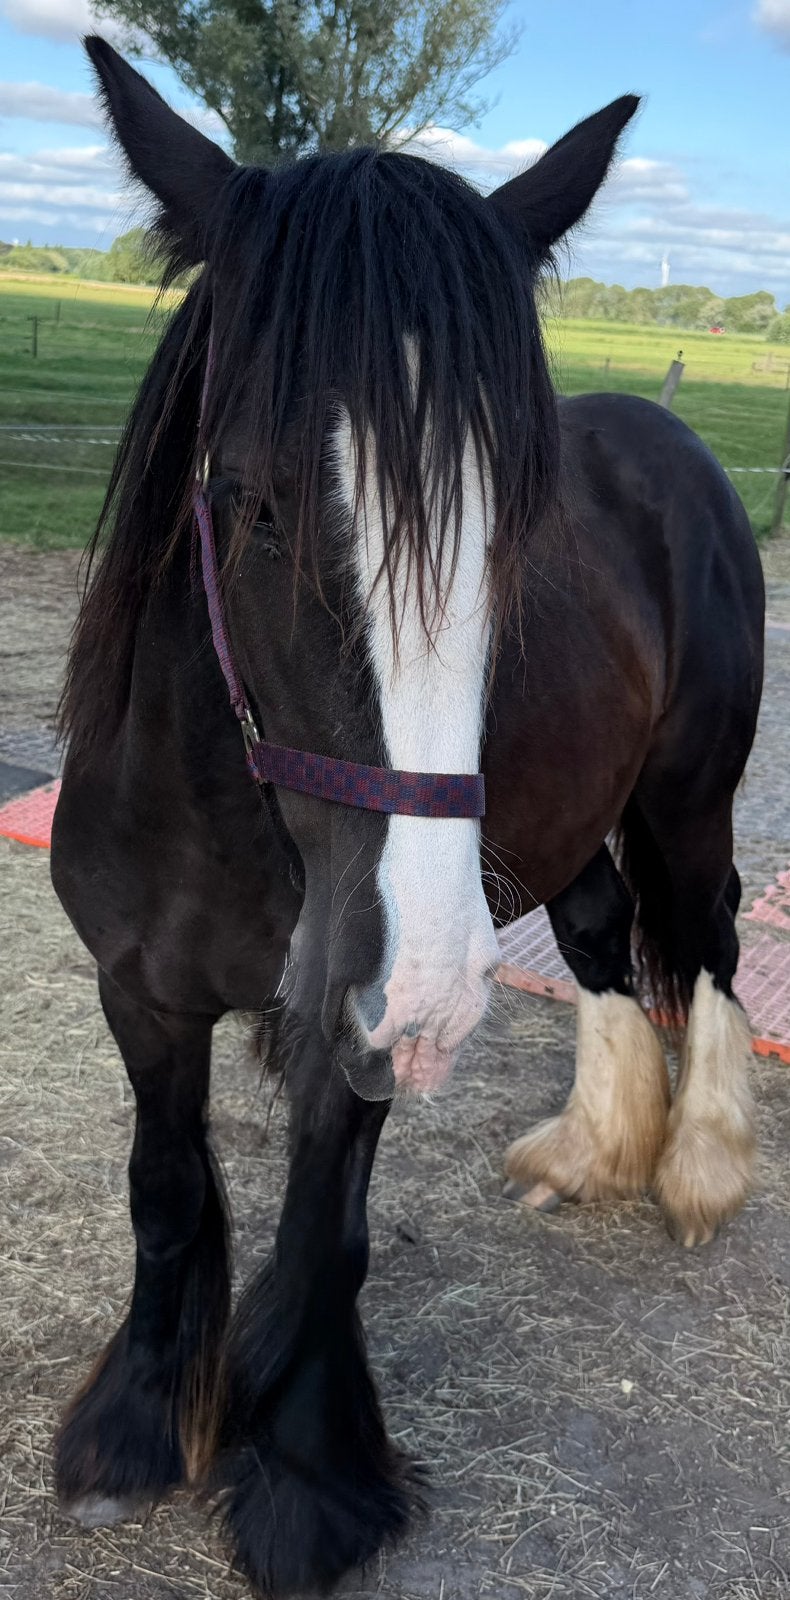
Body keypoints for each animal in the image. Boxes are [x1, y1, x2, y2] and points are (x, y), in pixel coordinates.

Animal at [49, 35, 764, 1598]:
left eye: (518, 527)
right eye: (246, 501)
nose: (430, 988)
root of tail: (674, 437)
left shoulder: (350, 1022)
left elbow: (326, 1237)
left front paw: (305, 1482)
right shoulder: (139, 991)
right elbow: (165, 1192)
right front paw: (137, 1428)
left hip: (684, 803)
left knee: (708, 946)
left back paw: (694, 1165)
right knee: (606, 940)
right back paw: (587, 1152)